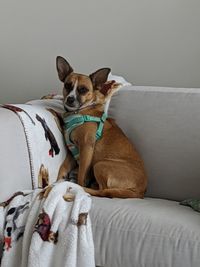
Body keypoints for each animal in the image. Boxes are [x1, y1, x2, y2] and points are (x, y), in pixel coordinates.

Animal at [56, 56, 147, 199]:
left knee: (103, 191)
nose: (70, 99)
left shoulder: (86, 148)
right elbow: (63, 166)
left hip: (100, 164)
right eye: (67, 85)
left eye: (83, 89)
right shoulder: (72, 150)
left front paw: (78, 187)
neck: (79, 112)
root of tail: (140, 192)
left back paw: (84, 189)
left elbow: (81, 174)